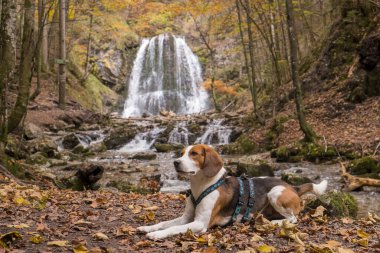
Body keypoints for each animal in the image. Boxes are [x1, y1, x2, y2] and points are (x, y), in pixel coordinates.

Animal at [138, 144, 328, 239]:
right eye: (182, 153)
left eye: (194, 153)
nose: (176, 162)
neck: (201, 186)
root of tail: (292, 186)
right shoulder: (187, 218)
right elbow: (166, 223)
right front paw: (148, 227)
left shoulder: (200, 223)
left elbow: (174, 228)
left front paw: (156, 234)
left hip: (275, 192)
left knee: (293, 219)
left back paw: (274, 222)